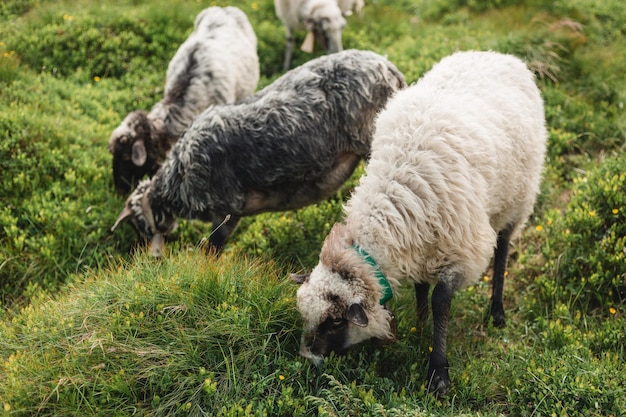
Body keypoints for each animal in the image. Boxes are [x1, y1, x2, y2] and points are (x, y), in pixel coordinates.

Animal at [111, 49, 404, 256]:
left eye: (139, 225)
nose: (153, 257)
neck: (180, 178)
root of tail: (389, 68)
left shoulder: (227, 209)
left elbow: (211, 251)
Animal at [290, 50, 544, 394]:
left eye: (336, 321)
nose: (308, 359)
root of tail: (496, 55)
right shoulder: (420, 242)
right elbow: (422, 287)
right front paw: (421, 328)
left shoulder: (460, 249)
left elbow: (440, 301)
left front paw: (438, 371)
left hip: (517, 197)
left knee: (503, 247)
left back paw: (497, 311)